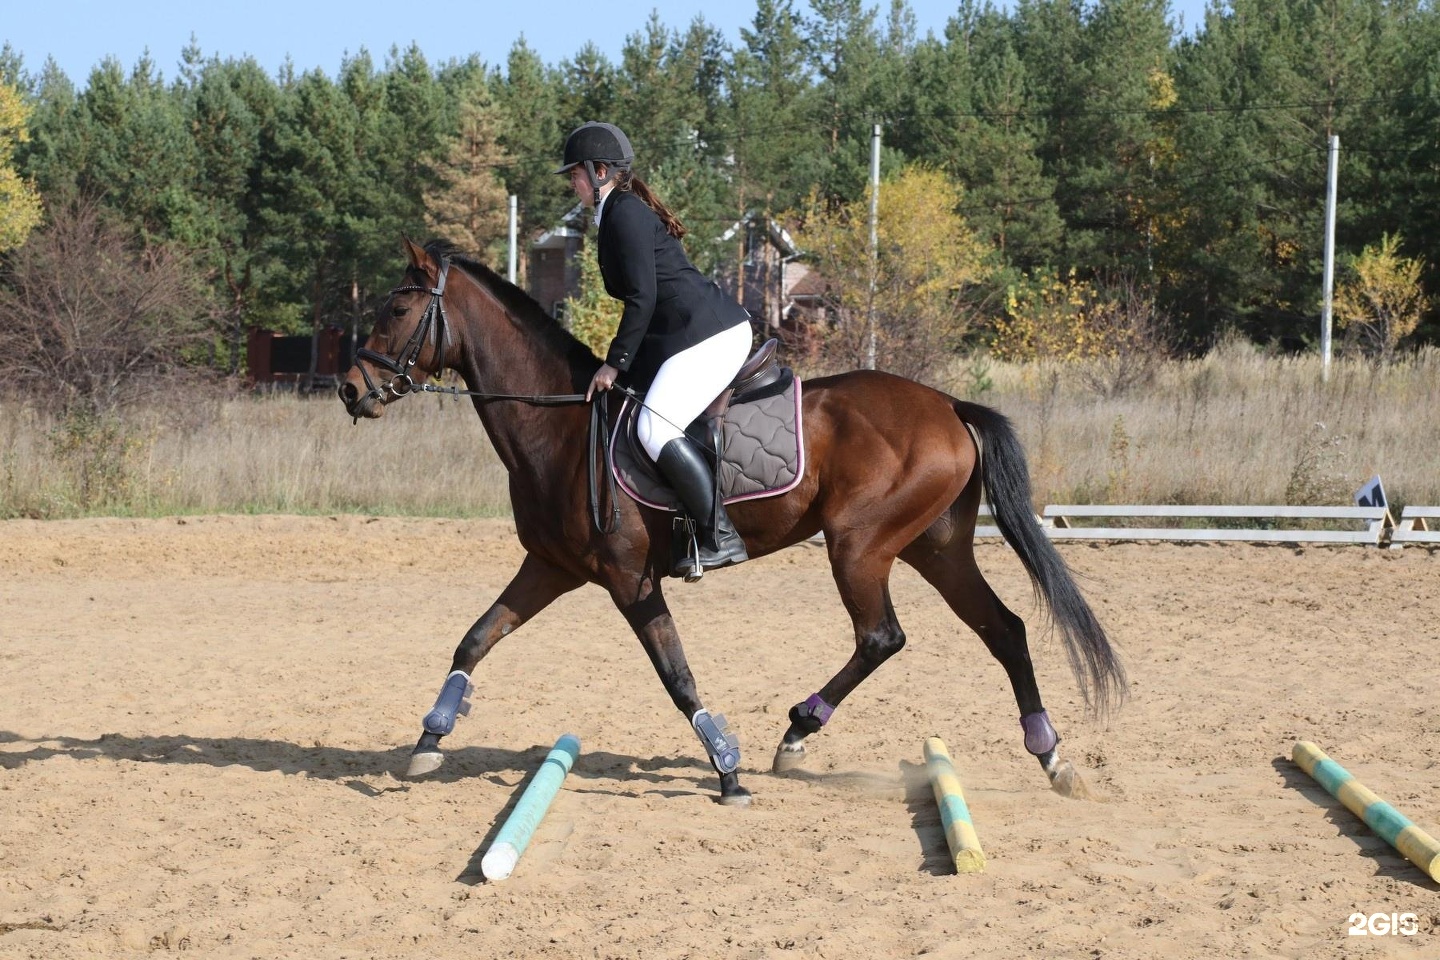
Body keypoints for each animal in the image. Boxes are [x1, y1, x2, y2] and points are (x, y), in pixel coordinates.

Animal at [336, 238, 1123, 805]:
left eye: (397, 311)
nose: (350, 391)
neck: (556, 425)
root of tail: (951, 406)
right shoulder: (551, 568)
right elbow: (475, 638)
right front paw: (429, 740)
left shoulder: (629, 579)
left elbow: (676, 675)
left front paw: (727, 770)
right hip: (936, 546)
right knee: (1004, 630)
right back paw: (1052, 758)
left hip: (860, 545)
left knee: (882, 637)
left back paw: (798, 733)